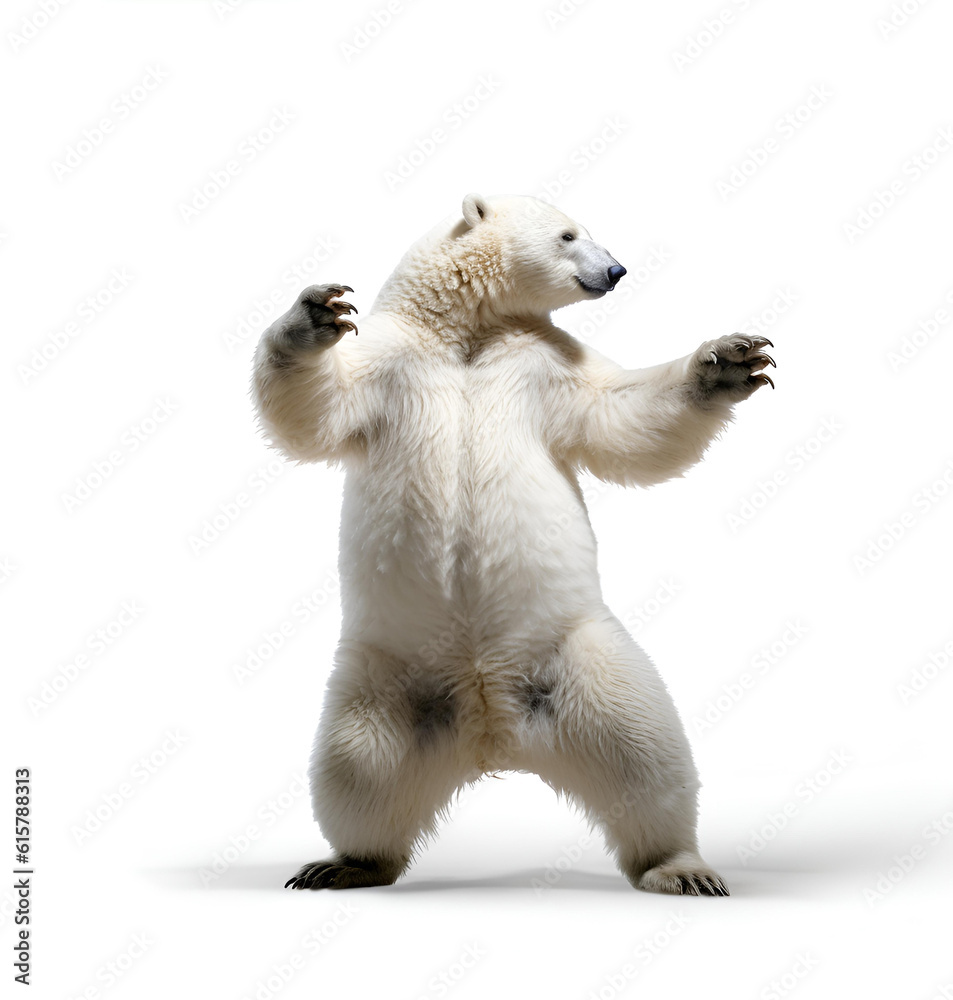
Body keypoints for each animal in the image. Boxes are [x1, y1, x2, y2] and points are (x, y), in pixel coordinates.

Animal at [252, 193, 774, 895]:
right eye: (569, 234)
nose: (617, 270)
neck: (467, 338)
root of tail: (492, 736)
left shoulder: (548, 365)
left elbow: (622, 415)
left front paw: (729, 361)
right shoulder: (392, 362)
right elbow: (314, 409)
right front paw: (317, 311)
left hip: (579, 657)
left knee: (645, 751)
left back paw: (680, 866)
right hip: (386, 676)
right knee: (358, 767)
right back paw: (344, 863)